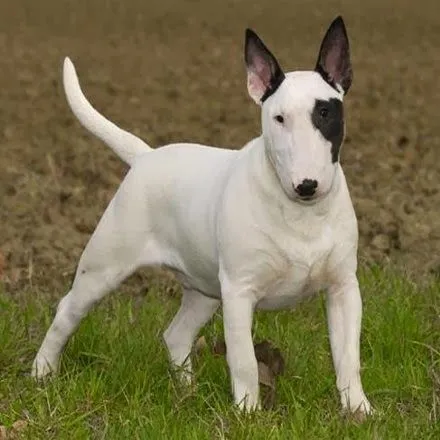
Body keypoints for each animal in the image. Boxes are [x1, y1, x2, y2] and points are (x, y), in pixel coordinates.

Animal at [33, 15, 372, 416]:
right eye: (279, 118)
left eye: (325, 112)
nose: (307, 186)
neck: (301, 215)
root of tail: (145, 157)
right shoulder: (239, 292)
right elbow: (243, 361)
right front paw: (248, 414)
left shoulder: (343, 288)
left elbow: (348, 357)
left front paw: (359, 411)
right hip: (104, 267)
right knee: (67, 310)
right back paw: (42, 372)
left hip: (205, 288)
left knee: (175, 334)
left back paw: (187, 391)